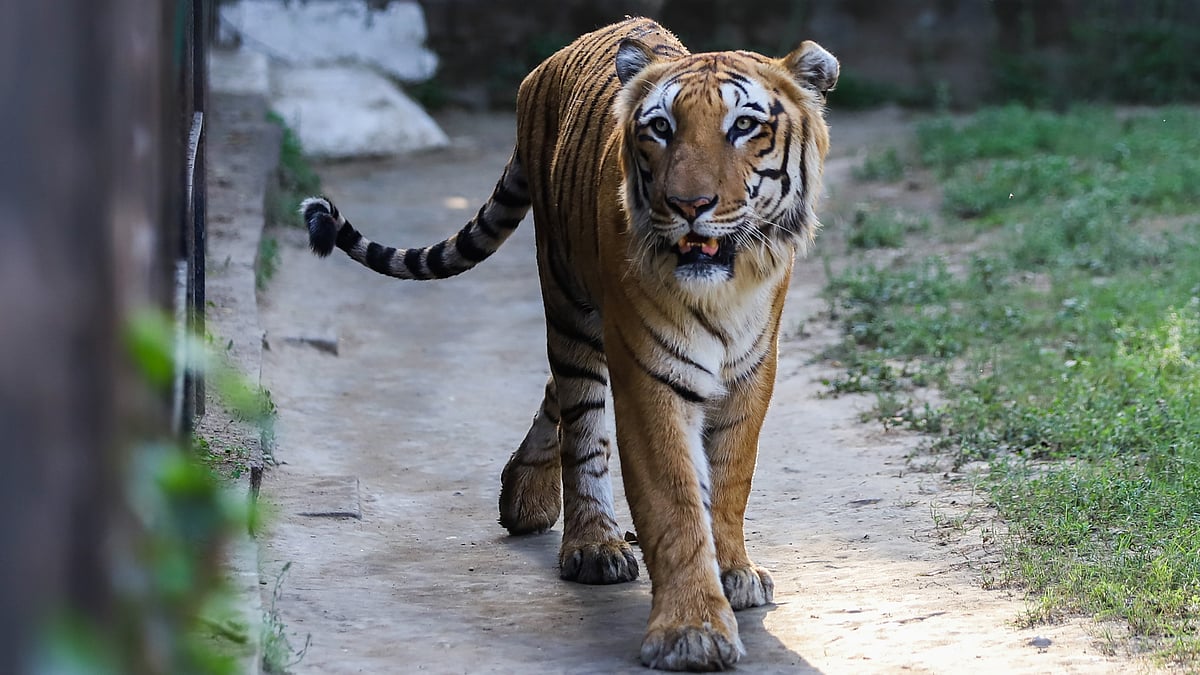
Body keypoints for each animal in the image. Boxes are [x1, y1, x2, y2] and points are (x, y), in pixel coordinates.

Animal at [300, 16, 837, 671]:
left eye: (743, 126)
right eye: (661, 128)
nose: (688, 206)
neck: (724, 290)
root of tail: (552, 61)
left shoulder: (752, 372)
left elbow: (732, 478)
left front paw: (734, 572)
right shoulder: (649, 371)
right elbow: (675, 499)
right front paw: (691, 632)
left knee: (557, 395)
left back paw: (522, 496)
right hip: (571, 305)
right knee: (581, 425)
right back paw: (591, 545)